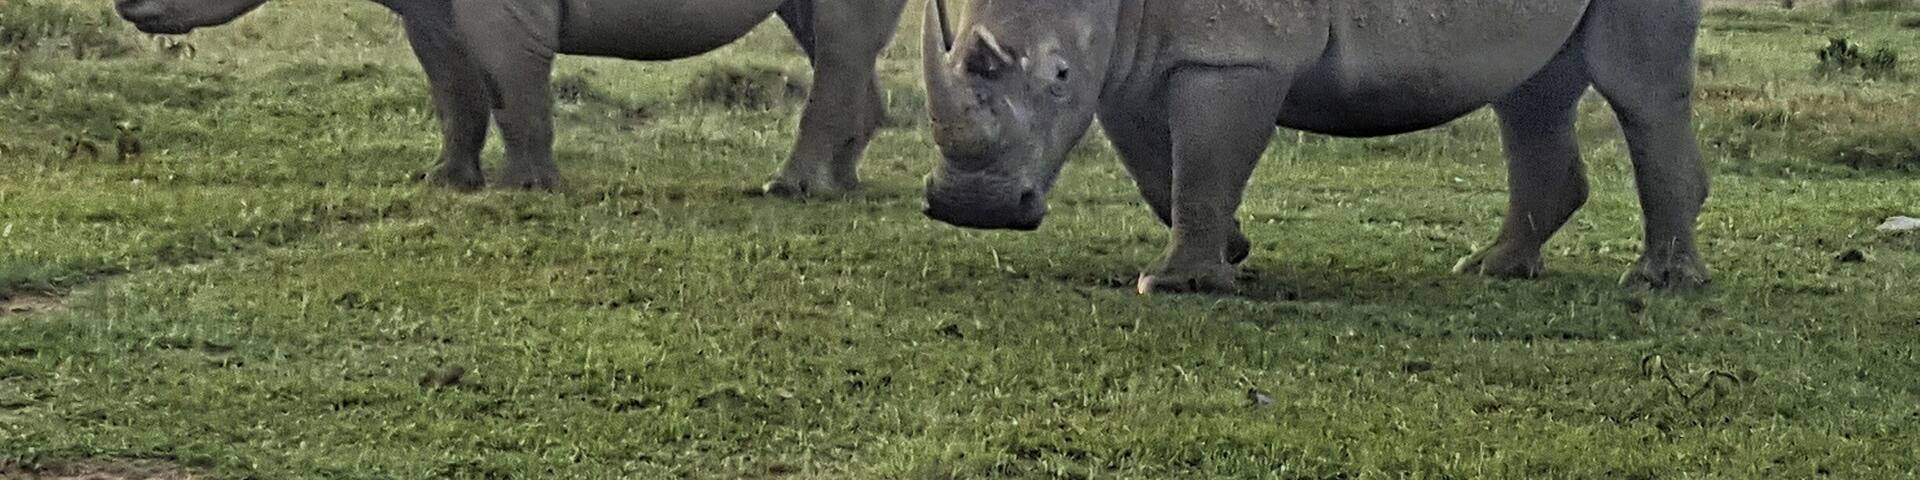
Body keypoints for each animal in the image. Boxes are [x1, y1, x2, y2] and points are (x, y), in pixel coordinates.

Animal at [918, 0, 1712, 294]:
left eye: (1057, 77)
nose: (970, 208)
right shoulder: (1131, 57)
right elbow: (1156, 167)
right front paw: (1233, 247)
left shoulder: (1238, 52)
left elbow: (1204, 162)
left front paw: (1177, 285)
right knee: (1532, 90)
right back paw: (1492, 270)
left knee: (1633, 83)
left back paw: (1659, 283)